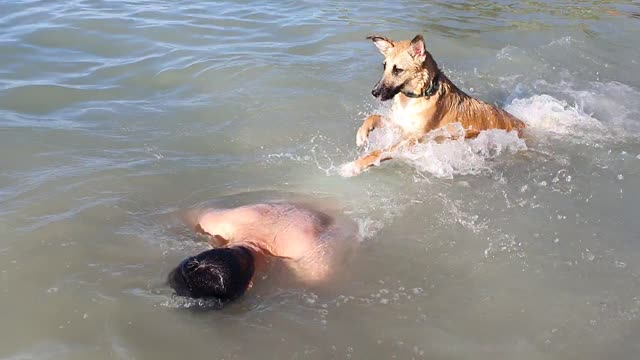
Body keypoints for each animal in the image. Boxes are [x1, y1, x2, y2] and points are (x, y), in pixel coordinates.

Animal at [344, 33, 524, 176]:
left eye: (398, 70)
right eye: (384, 67)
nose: (374, 92)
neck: (417, 96)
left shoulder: (413, 138)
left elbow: (379, 152)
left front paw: (353, 166)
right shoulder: (402, 124)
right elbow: (374, 117)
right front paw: (361, 134)